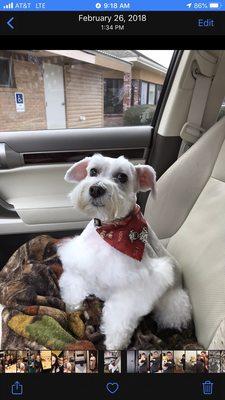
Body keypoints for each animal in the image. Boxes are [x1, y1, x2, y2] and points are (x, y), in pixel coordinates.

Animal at [58, 155, 192, 348]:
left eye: (122, 177)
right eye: (93, 171)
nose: (96, 189)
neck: (111, 230)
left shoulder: (133, 288)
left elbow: (119, 319)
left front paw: (114, 345)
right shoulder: (81, 263)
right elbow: (74, 288)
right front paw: (72, 307)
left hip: (174, 304)